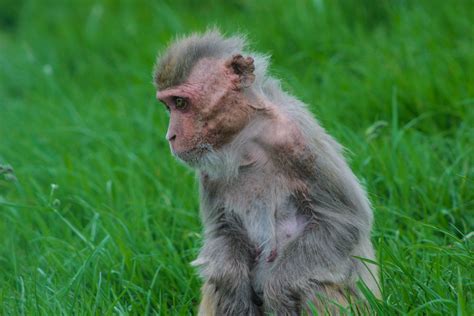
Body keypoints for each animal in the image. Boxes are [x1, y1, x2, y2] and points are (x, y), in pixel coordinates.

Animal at [154, 30, 380, 316]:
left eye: (181, 103)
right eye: (168, 107)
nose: (170, 136)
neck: (246, 139)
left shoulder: (297, 139)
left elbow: (343, 221)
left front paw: (278, 291)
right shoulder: (209, 171)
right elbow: (221, 232)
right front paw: (232, 284)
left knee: (314, 286)